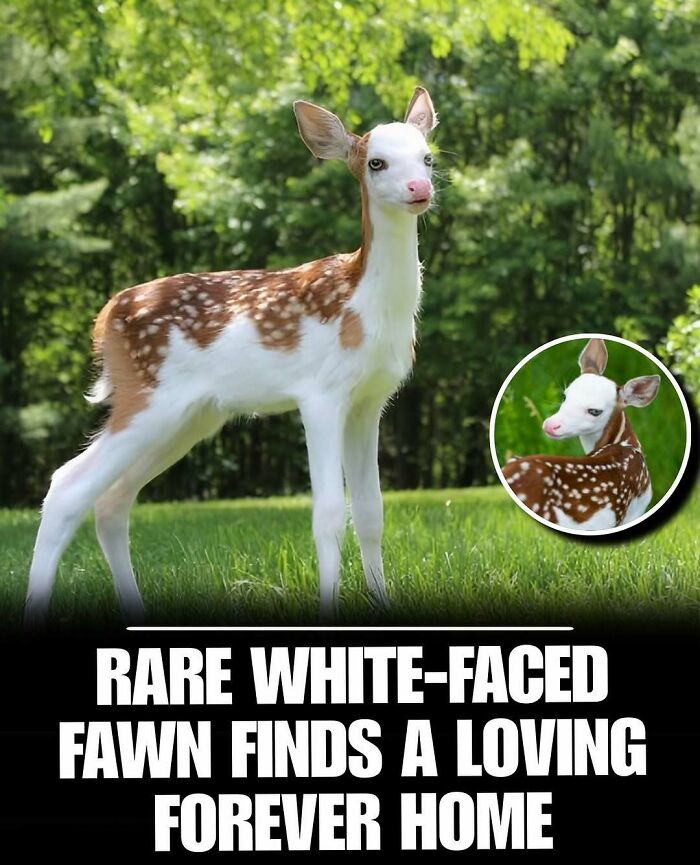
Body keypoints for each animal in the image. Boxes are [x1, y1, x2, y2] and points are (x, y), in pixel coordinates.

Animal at [24, 87, 438, 627]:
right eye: (376, 162)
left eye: (427, 157)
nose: (419, 188)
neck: (366, 304)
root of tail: (106, 316)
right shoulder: (321, 393)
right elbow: (328, 513)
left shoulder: (370, 402)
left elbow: (370, 512)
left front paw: (383, 606)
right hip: (147, 396)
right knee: (67, 487)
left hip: (189, 417)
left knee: (112, 500)